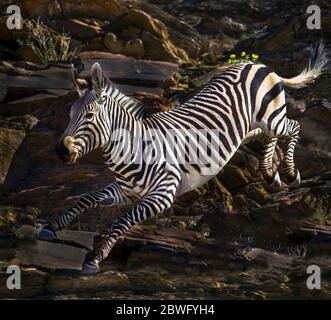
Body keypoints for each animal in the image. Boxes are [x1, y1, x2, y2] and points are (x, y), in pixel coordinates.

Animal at [37, 42, 328, 272]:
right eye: (69, 114)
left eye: (89, 116)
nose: (61, 152)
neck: (134, 148)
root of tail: (257, 64)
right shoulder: (126, 191)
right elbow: (86, 199)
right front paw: (51, 227)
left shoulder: (163, 194)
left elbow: (121, 221)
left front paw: (95, 259)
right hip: (251, 127)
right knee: (268, 137)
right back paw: (270, 175)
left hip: (271, 116)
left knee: (293, 127)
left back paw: (290, 173)